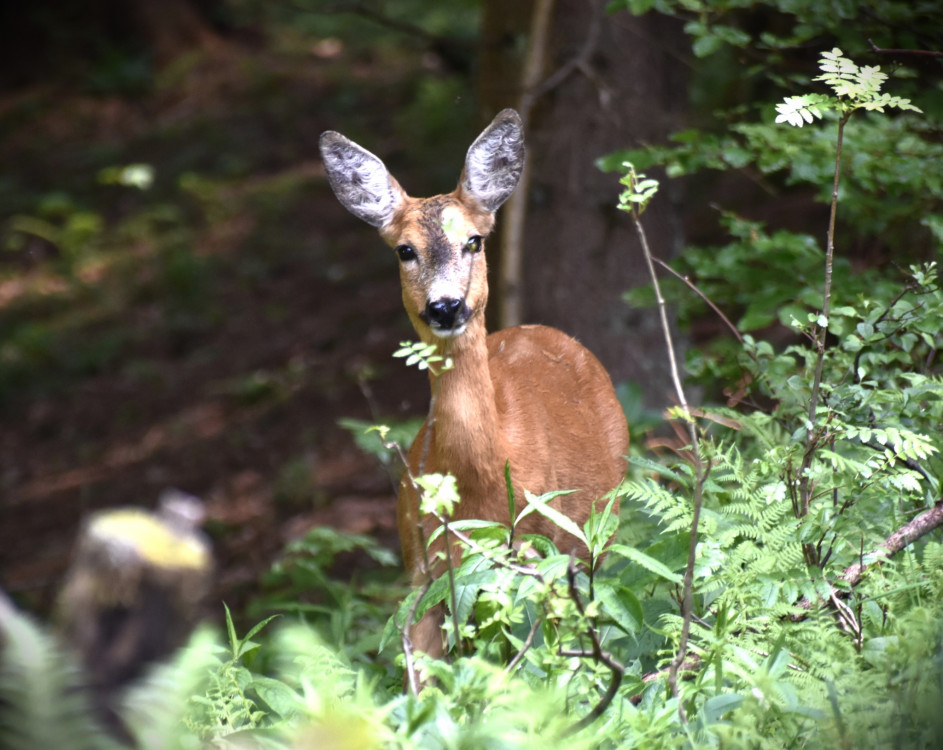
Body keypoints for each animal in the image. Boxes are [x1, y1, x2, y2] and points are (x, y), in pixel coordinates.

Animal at [318, 110, 628, 668]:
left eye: (474, 241)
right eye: (405, 250)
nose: (445, 306)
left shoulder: (540, 556)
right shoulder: (423, 570)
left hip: (598, 530)